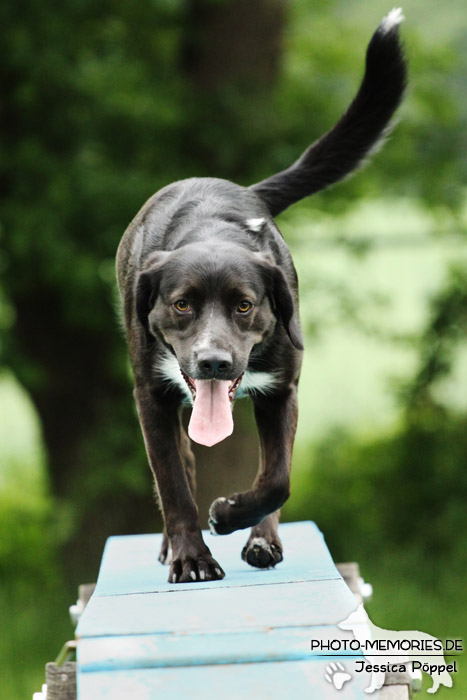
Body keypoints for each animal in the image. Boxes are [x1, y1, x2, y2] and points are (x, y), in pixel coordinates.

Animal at [116, 9, 406, 584]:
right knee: (181, 465)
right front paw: (191, 557)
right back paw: (175, 545)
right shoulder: (150, 396)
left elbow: (278, 480)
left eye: (244, 305)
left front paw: (231, 516)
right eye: (181, 304)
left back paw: (262, 541)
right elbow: (174, 485)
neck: (211, 228)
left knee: (271, 473)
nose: (213, 362)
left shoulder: (281, 389)